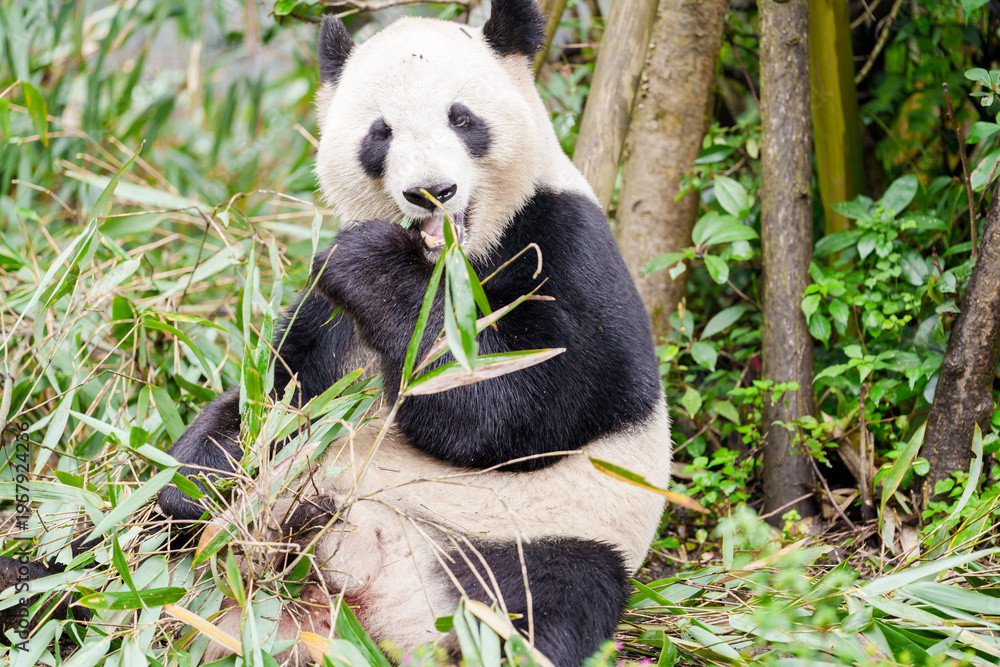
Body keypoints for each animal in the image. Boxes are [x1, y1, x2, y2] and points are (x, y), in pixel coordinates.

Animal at [159, 1, 673, 665]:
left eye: (463, 118)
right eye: (380, 133)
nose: (432, 190)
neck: (445, 263)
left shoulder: (565, 243)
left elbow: (528, 404)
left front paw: (372, 263)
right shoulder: (328, 320)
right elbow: (279, 392)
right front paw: (192, 479)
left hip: (537, 537)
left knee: (539, 603)